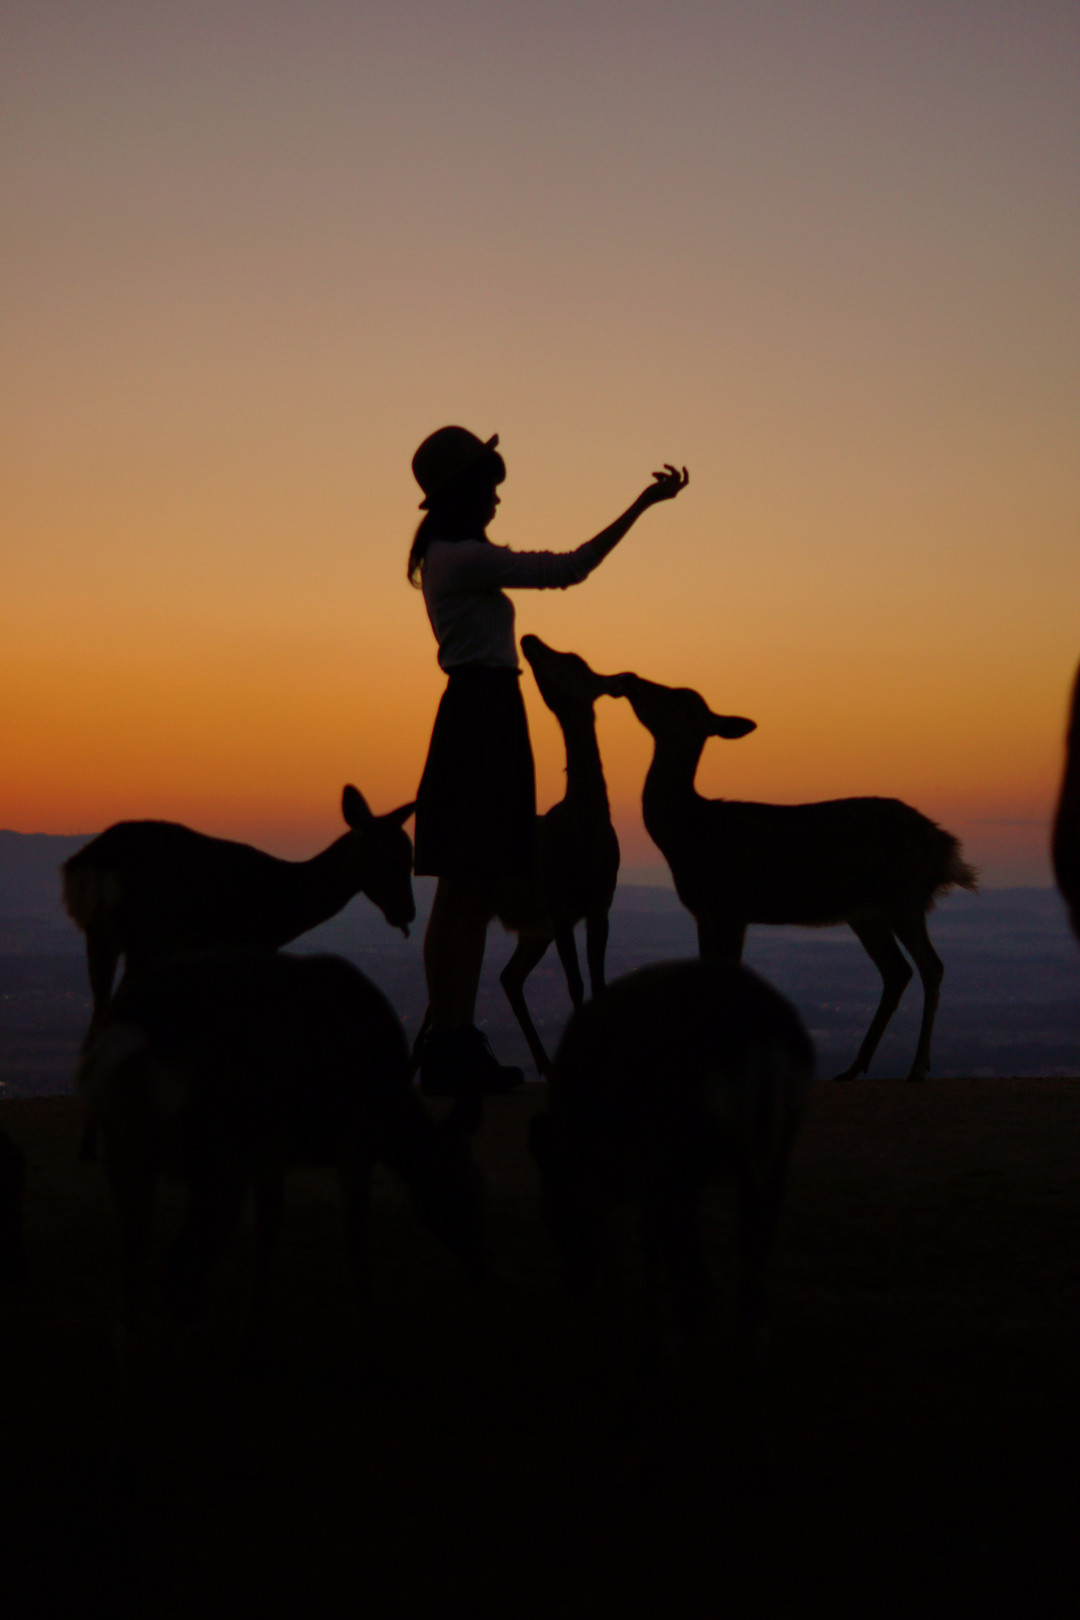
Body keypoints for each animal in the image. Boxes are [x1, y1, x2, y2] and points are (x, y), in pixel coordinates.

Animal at [78, 948, 483, 1374]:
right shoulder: (346, 1140)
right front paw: (368, 1334)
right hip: (218, 1160)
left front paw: (253, 1335)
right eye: (466, 1192)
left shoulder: (274, 1154)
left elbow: (271, 1226)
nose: (480, 1264)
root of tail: (132, 1034)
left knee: (137, 1266)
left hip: (128, 1154)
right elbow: (350, 1232)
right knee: (175, 1273)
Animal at [530, 959, 813, 1358]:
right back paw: (750, 1335)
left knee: (695, 1270)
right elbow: (647, 1234)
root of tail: (758, 1036)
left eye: (553, 1210)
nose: (575, 1285)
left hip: (685, 1158)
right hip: (771, 1153)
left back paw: (674, 1339)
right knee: (753, 1250)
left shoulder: (627, 1165)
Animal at [613, 672, 977, 1082]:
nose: (629, 678)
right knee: (897, 970)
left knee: (931, 966)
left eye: (681, 699)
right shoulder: (704, 912)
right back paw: (853, 1067)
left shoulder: (731, 905)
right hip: (866, 911)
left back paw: (916, 1068)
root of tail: (943, 847)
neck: (686, 834)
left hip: (903, 896)